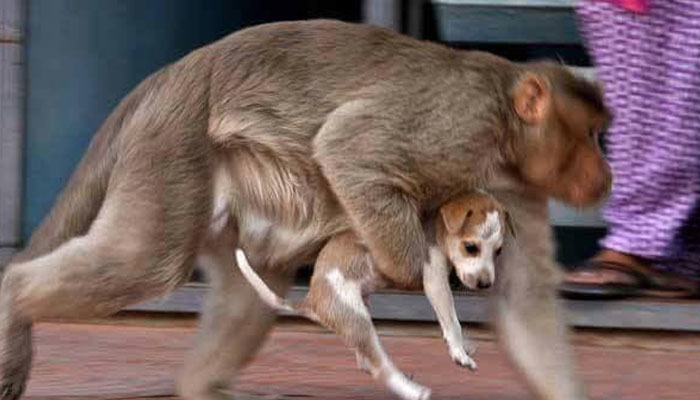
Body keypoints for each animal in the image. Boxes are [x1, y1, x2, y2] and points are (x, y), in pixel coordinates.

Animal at [0, 20, 611, 400]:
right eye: (589, 134)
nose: (605, 173)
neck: (503, 131)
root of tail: (166, 79)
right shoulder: (456, 124)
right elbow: (347, 146)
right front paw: (407, 269)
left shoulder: (515, 189)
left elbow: (525, 300)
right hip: (172, 151)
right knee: (146, 260)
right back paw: (13, 295)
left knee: (254, 286)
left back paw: (202, 387)